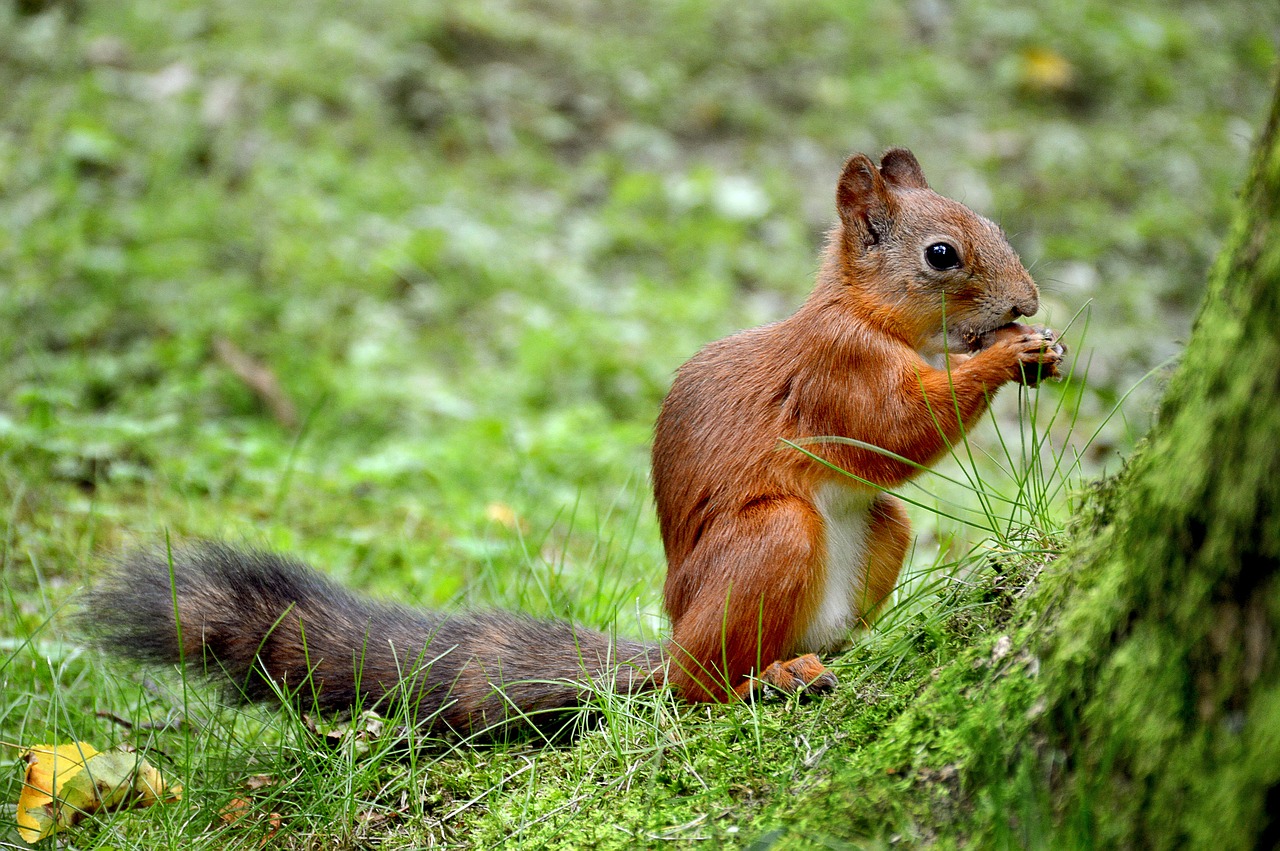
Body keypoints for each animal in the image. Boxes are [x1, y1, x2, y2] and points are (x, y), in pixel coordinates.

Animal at [85, 149, 1064, 742]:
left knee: (874, 538)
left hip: (876, 534)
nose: (1028, 301)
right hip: (770, 538)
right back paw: (764, 680)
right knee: (697, 685)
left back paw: (844, 649)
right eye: (941, 254)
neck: (863, 314)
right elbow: (897, 432)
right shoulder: (837, 374)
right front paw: (1009, 356)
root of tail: (671, 641)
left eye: (989, 225)